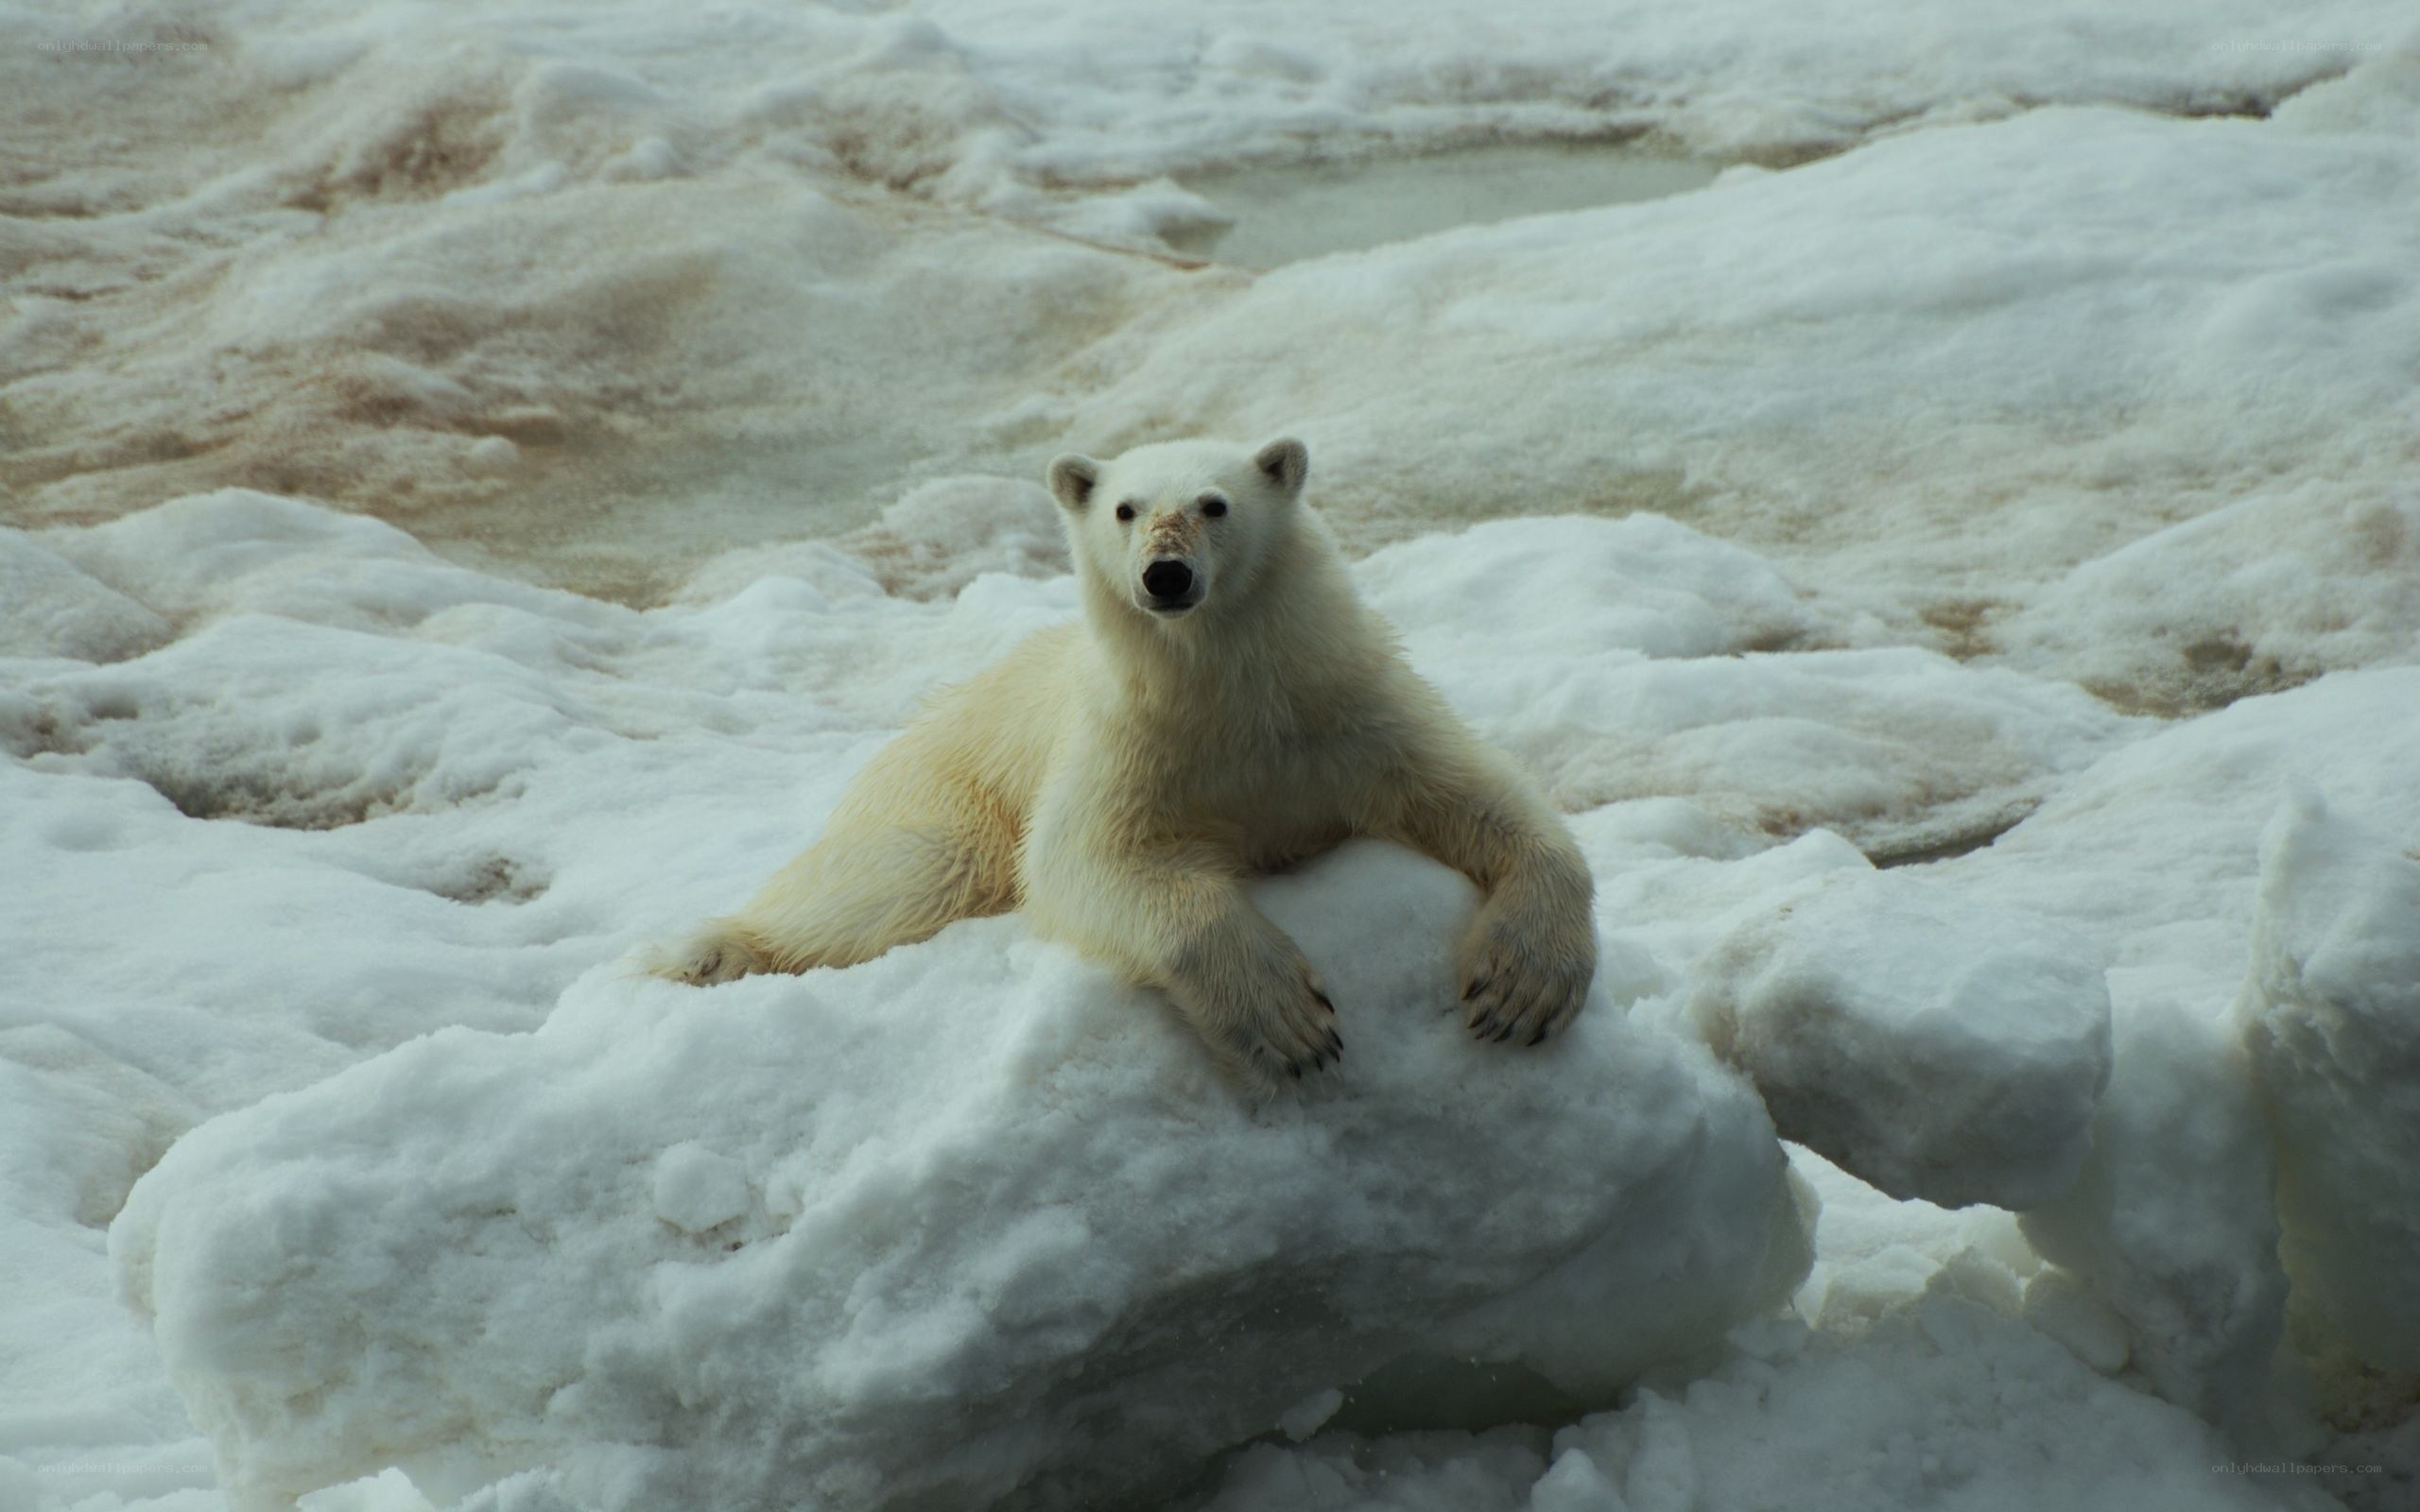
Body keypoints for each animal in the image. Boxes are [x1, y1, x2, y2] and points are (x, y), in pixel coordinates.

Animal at [650, 437, 1598, 1084]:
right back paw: (710, 952)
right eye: (1125, 508)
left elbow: (1479, 796)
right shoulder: (1131, 747)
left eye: (1214, 504)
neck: (1235, 698)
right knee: (900, 878)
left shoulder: (1349, 714)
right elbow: (1088, 861)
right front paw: (1293, 1025)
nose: (1166, 576)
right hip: (945, 792)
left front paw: (1520, 991)